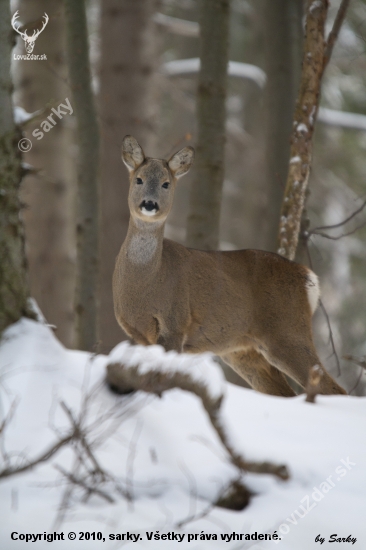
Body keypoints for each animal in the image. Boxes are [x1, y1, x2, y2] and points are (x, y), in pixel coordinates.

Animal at [113, 136, 346, 398]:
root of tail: (308, 277)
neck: (147, 282)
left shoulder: (175, 324)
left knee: (334, 388)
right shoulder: (137, 333)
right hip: (242, 350)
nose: (149, 204)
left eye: (166, 183)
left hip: (289, 332)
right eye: (139, 179)